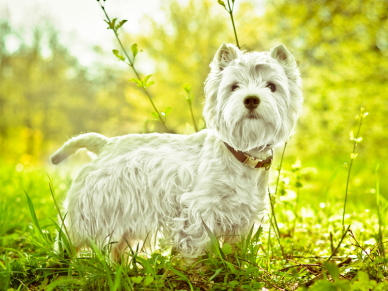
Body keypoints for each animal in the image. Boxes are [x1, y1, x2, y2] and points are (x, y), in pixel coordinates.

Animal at [50, 42, 304, 262]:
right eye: (234, 87)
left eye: (272, 86)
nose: (251, 99)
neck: (242, 156)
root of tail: (105, 144)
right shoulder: (199, 210)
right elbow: (198, 247)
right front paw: (197, 271)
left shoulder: (244, 218)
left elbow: (234, 251)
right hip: (87, 217)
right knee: (67, 243)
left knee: (117, 250)